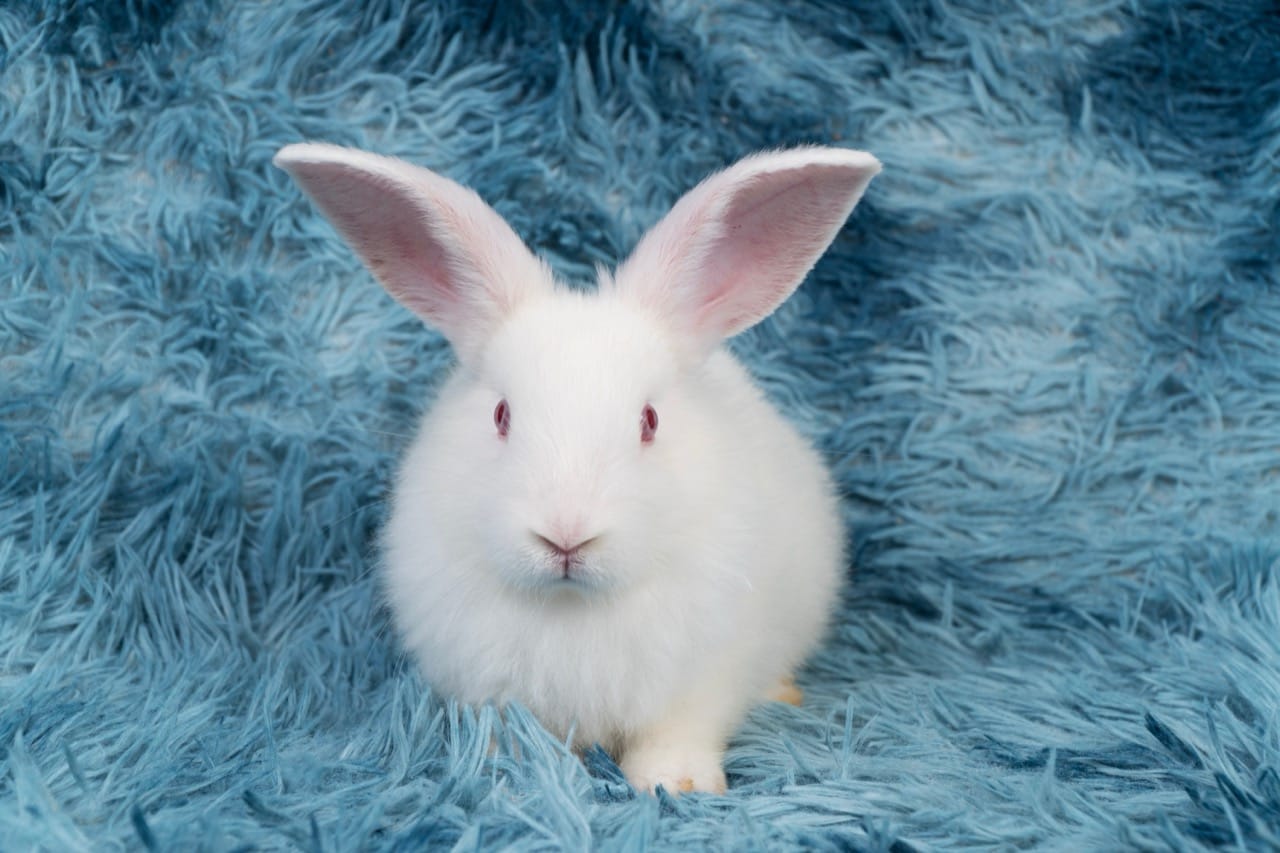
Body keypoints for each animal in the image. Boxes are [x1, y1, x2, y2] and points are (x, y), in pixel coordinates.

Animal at [274, 143, 880, 795]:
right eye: (501, 414)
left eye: (649, 420)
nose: (566, 537)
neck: (572, 608)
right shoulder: (486, 685)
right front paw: (507, 772)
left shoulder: (700, 681)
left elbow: (677, 733)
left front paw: (677, 784)